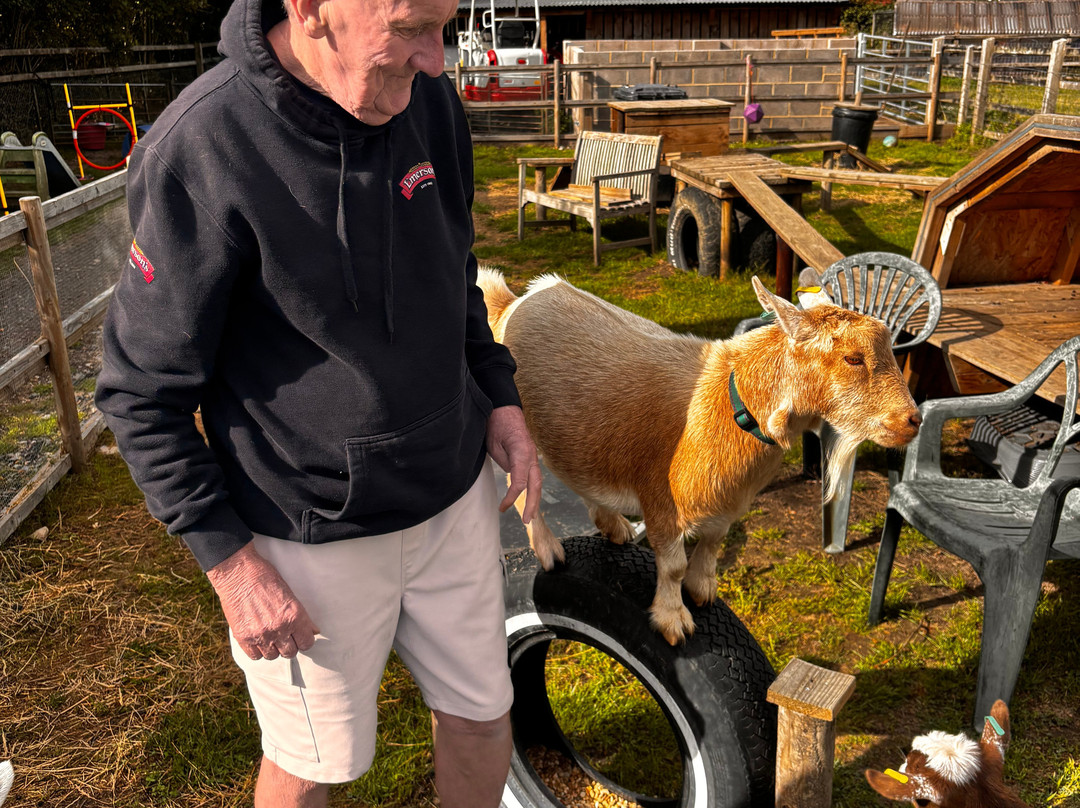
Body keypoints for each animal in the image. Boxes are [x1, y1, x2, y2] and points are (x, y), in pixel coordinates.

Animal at [479, 270, 921, 644]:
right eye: (852, 358)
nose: (912, 420)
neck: (728, 403)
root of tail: (512, 303)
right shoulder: (660, 499)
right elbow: (672, 564)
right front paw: (673, 619)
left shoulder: (725, 504)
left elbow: (712, 542)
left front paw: (703, 588)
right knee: (522, 488)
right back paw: (548, 550)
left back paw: (614, 525)